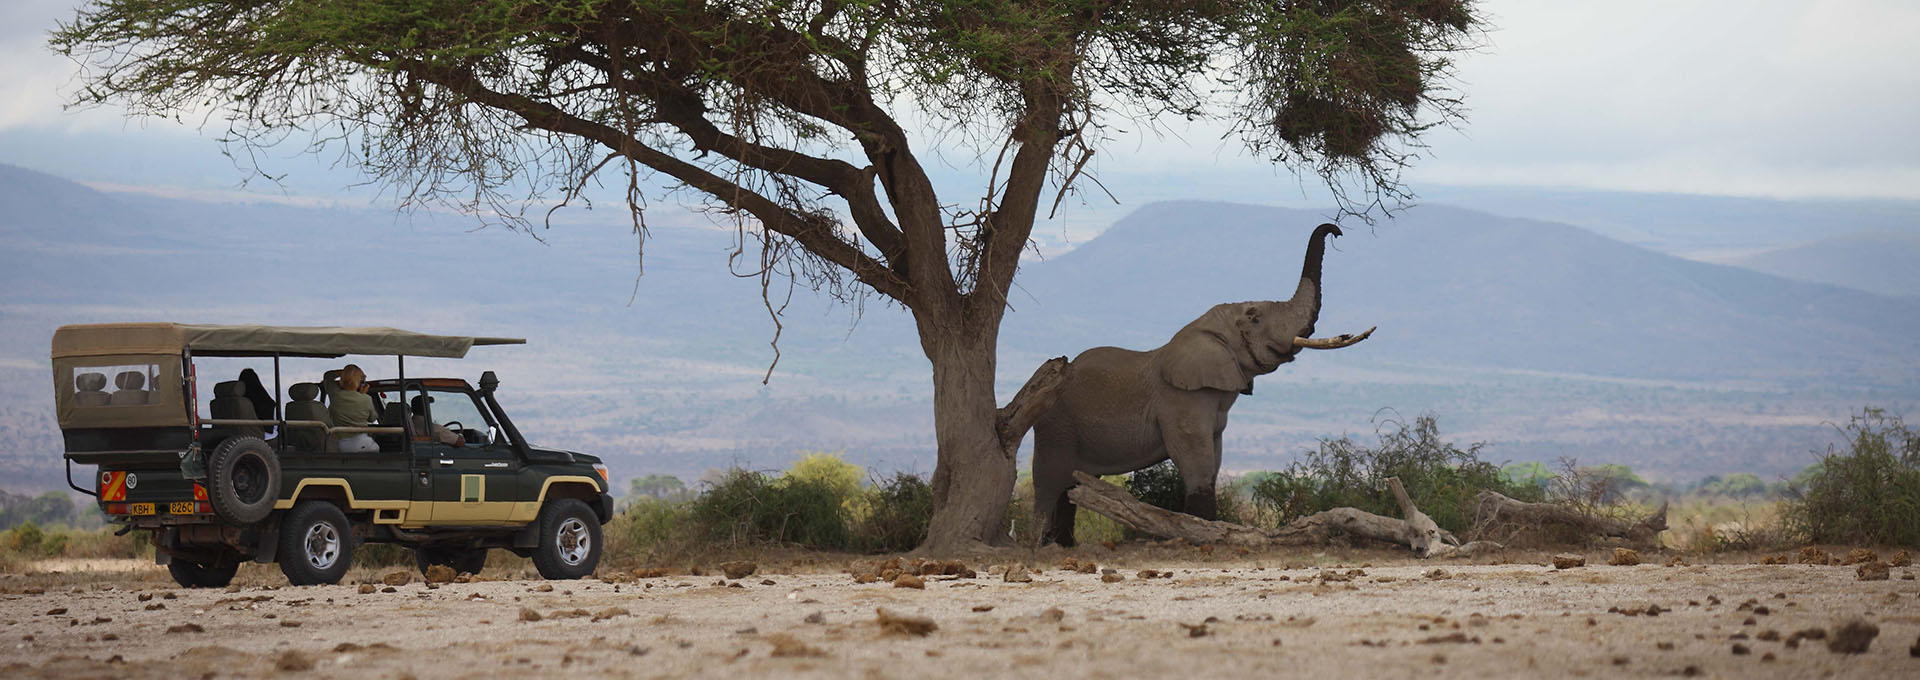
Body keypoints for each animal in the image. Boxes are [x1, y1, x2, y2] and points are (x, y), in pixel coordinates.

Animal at [1029, 222, 1374, 545]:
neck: (1203, 328)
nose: (1337, 233)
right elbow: (1197, 461)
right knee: (1049, 482)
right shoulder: (1180, 402)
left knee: (1071, 487)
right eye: (1255, 318)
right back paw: (1040, 544)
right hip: (1054, 424)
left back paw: (1064, 544)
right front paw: (1204, 532)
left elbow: (1214, 458)